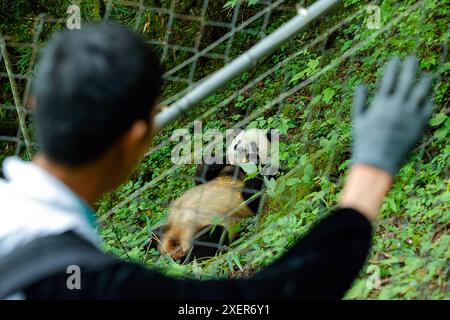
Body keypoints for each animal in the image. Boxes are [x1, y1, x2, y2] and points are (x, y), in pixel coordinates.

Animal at [158, 127, 270, 260]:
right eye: (237, 143)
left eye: (253, 145)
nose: (240, 149)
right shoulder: (224, 171)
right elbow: (200, 178)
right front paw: (217, 159)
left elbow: (255, 197)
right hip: (169, 223)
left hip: (209, 224)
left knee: (212, 237)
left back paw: (189, 259)